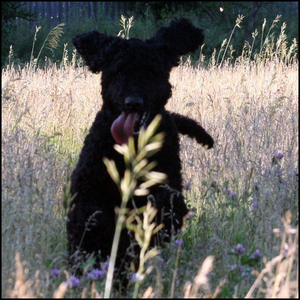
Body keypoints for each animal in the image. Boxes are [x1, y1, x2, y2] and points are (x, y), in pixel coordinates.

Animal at [67, 17, 213, 284]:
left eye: (151, 71)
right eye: (118, 71)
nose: (133, 103)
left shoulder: (168, 196)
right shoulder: (88, 191)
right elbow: (92, 223)